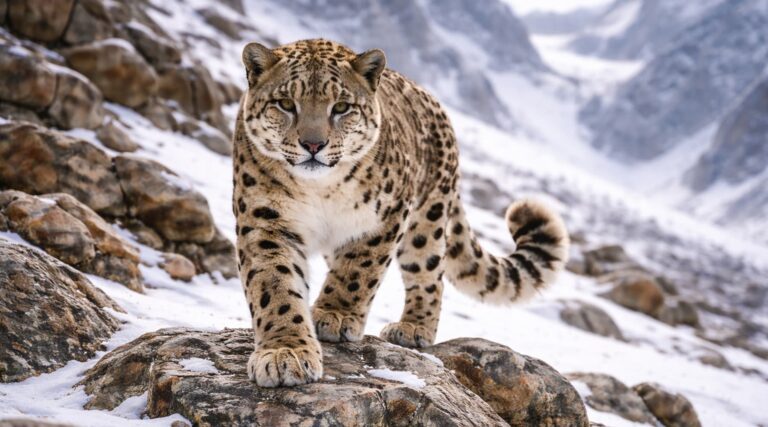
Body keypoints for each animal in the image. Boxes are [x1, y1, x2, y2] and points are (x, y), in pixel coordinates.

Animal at [232, 39, 569, 387]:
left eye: (341, 107)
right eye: (285, 103)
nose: (313, 145)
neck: (321, 190)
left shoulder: (384, 217)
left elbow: (357, 271)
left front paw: (334, 316)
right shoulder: (266, 221)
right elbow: (275, 285)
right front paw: (285, 352)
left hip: (427, 221)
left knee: (429, 274)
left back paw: (413, 328)